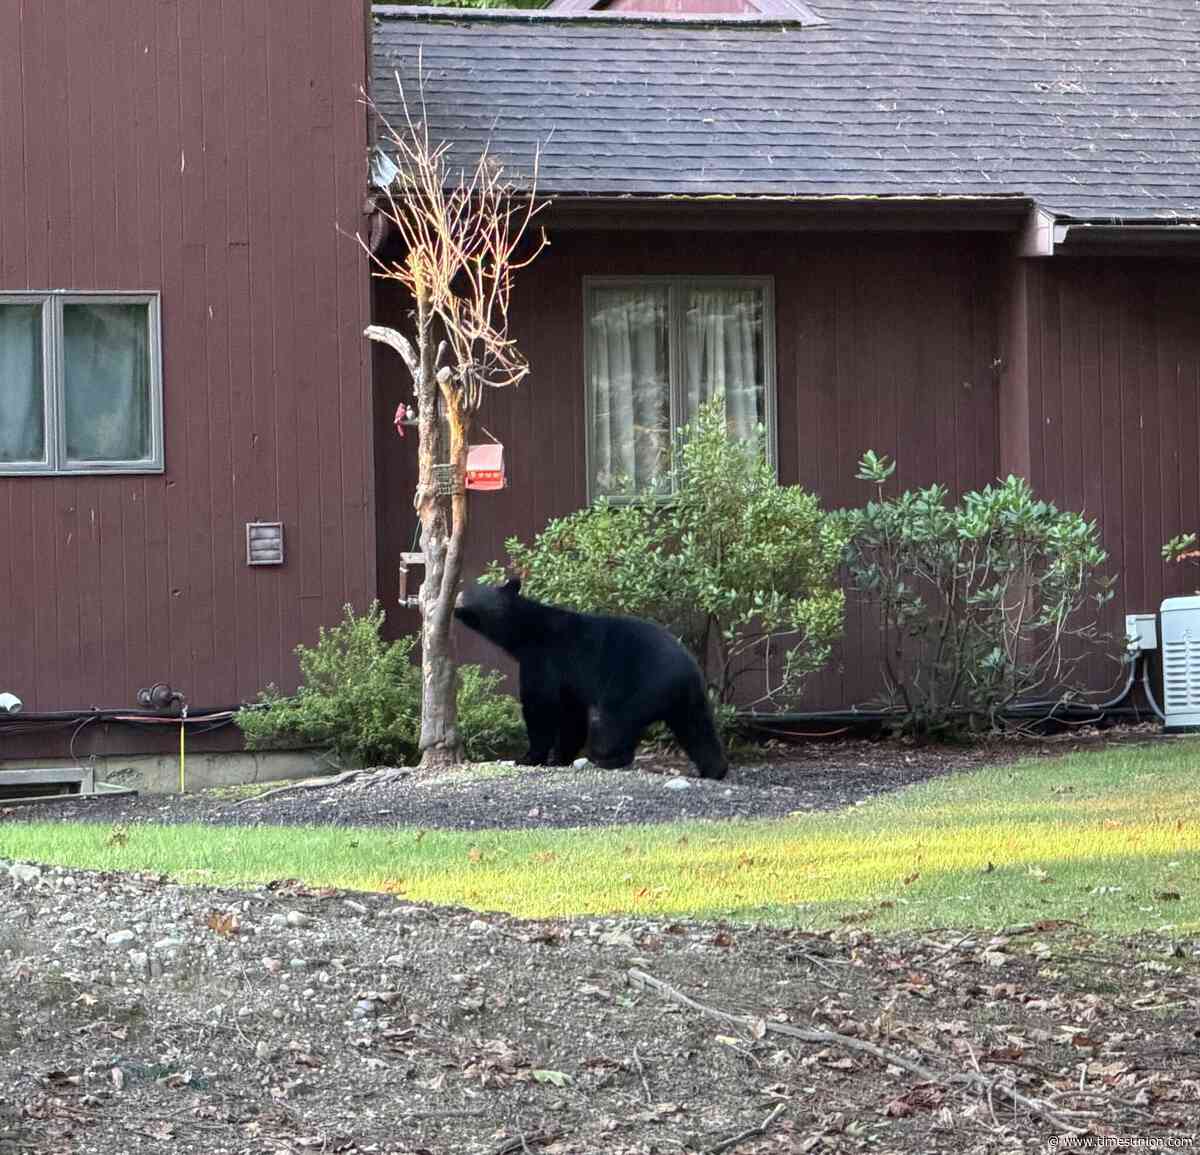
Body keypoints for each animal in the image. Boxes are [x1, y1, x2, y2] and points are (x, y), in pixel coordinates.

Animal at [453, 577, 728, 780]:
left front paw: (530, 757)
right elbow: (571, 713)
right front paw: (559, 757)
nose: (456, 599)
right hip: (689, 699)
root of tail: (689, 670)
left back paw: (605, 757)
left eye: (473, 589)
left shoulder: (543, 658)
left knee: (614, 723)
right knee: (698, 729)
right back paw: (714, 769)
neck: (526, 631)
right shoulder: (568, 679)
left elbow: (540, 706)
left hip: (638, 687)